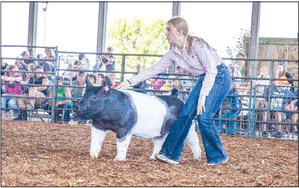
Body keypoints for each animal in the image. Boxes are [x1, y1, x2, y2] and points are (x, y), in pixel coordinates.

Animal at [73, 76, 202, 162]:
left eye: (95, 97)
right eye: (84, 95)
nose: (76, 106)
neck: (106, 118)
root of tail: (177, 97)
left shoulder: (126, 127)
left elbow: (122, 144)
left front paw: (117, 160)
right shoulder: (98, 125)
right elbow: (95, 140)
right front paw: (93, 156)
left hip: (190, 126)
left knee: (194, 140)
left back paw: (197, 158)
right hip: (160, 131)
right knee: (159, 142)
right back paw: (152, 158)